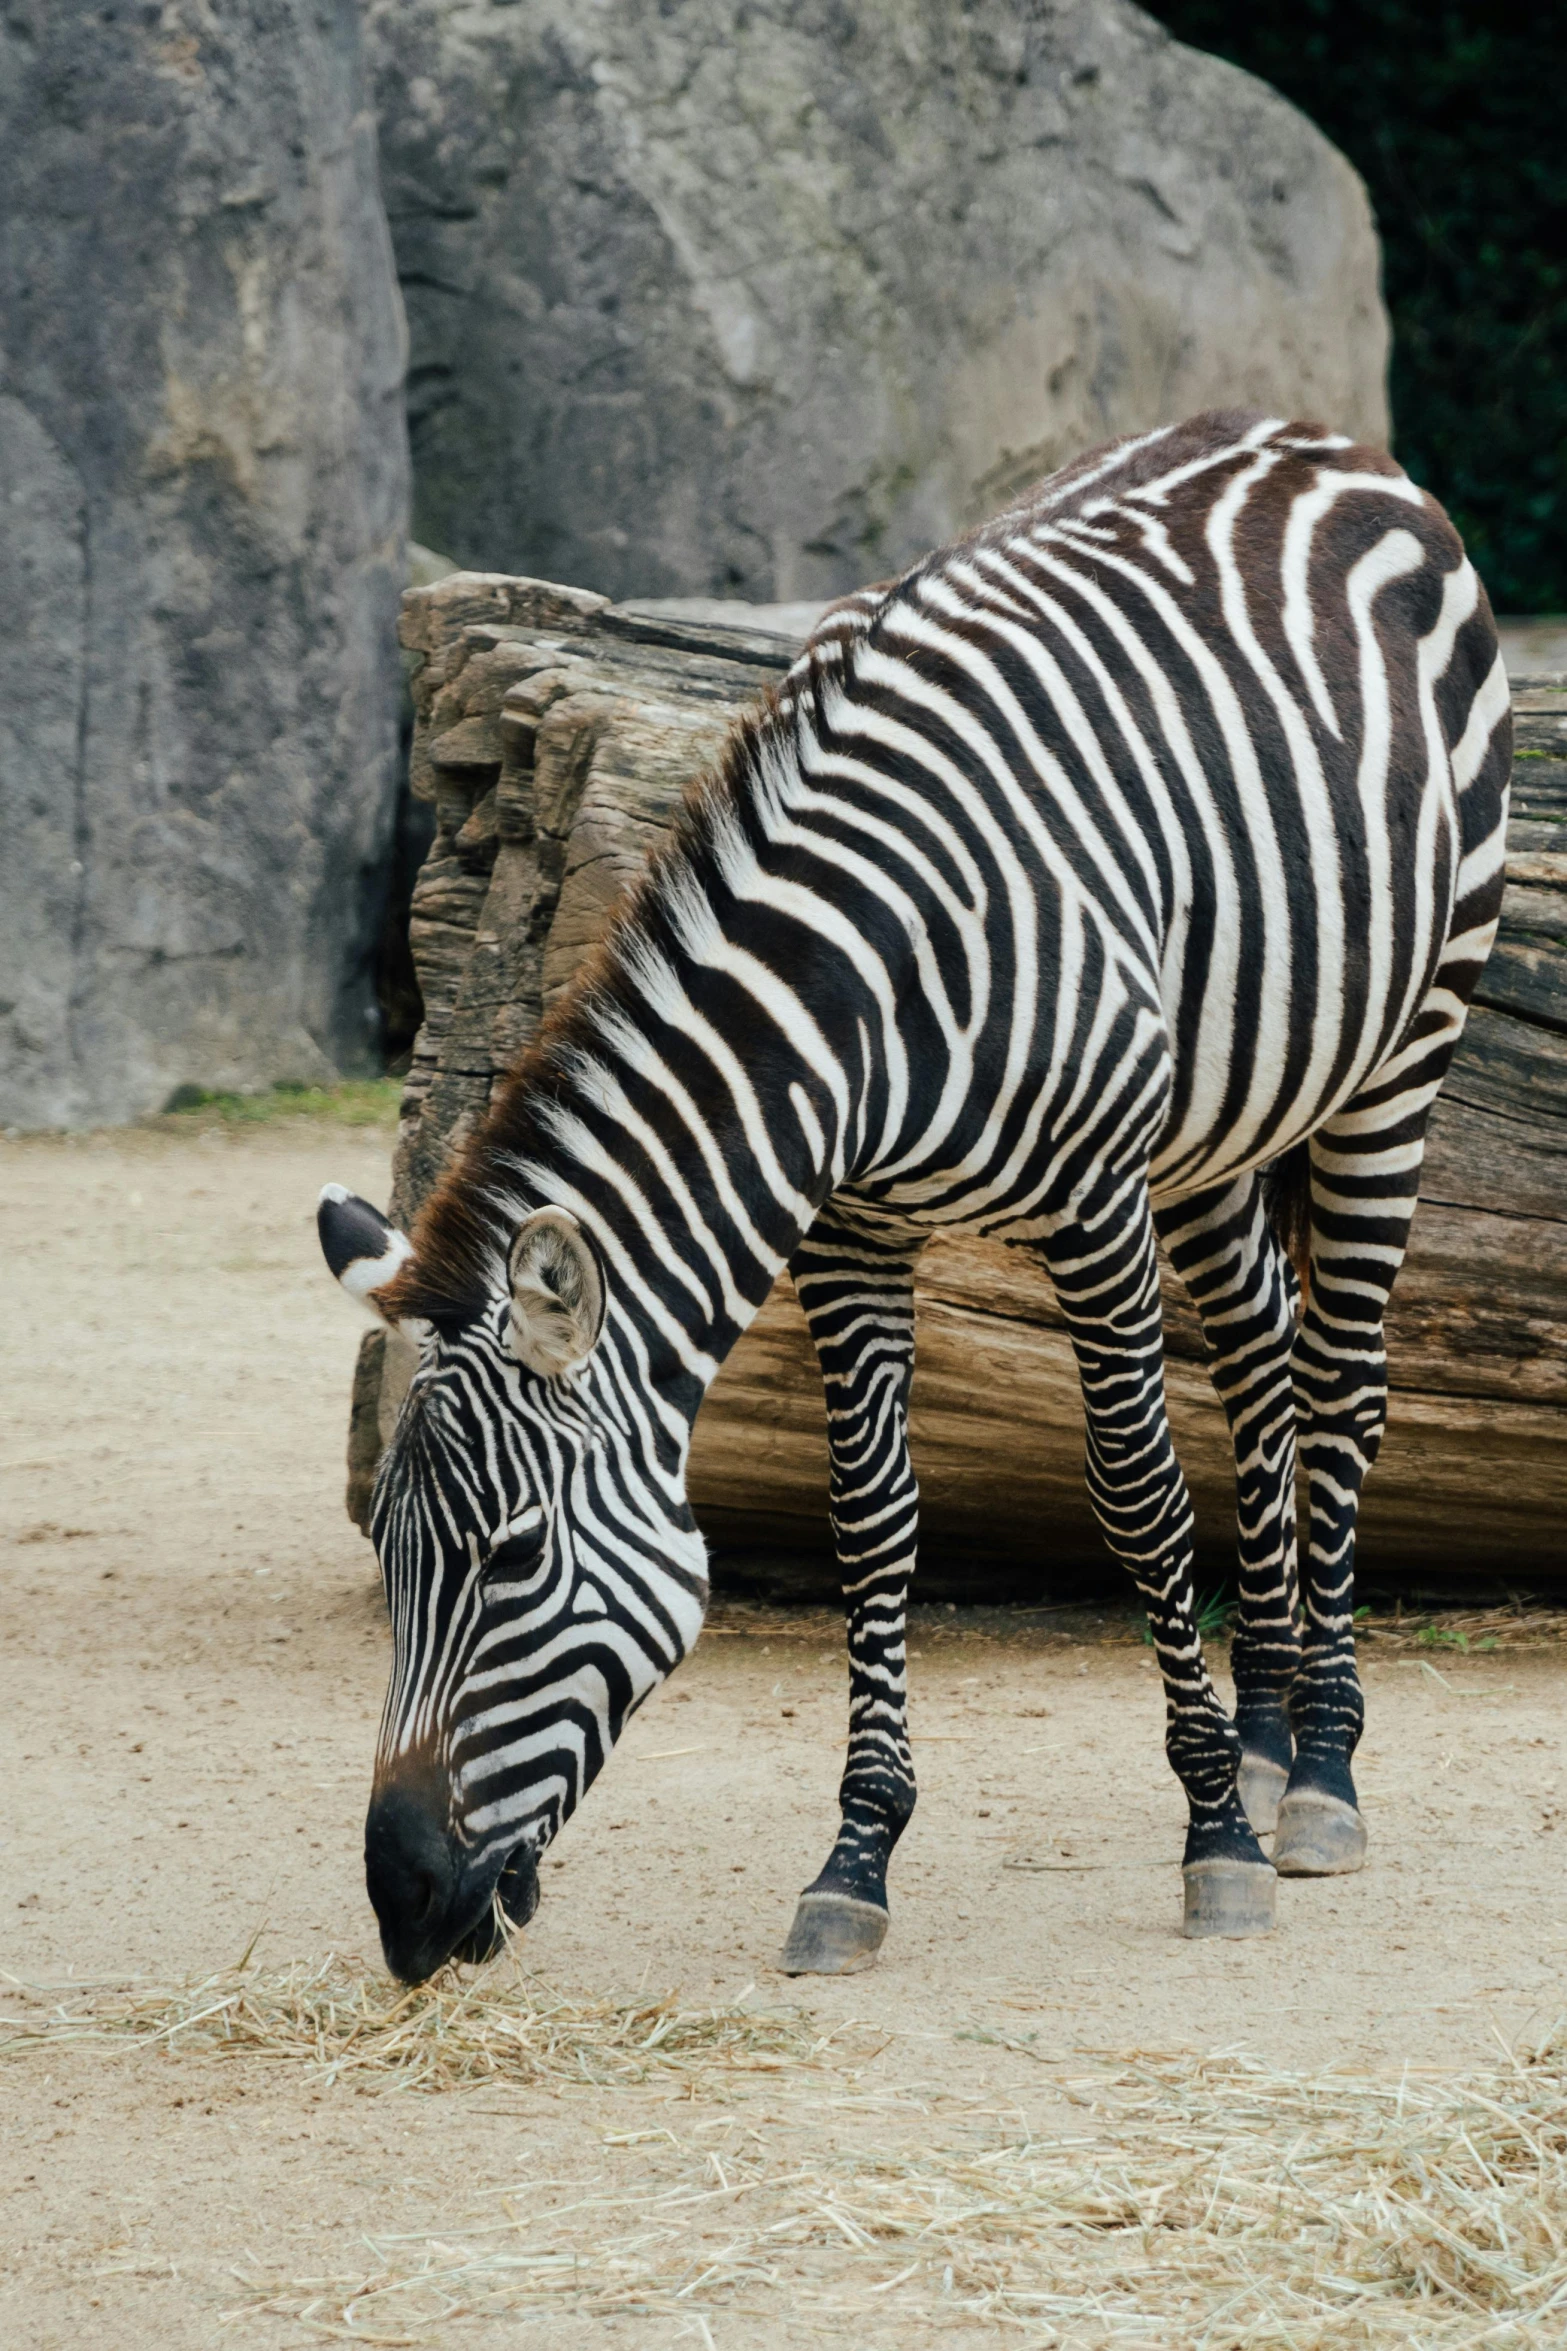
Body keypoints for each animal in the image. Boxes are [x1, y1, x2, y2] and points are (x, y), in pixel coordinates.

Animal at [314, 409, 1503, 1984]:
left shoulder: (1091, 1201)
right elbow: (870, 1513)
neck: (860, 989)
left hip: (1406, 1044)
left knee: (1340, 1385)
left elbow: (1134, 1494)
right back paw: (1263, 1732)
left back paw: (1311, 1773)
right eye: (388, 1548)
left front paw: (1212, 1841)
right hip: (1217, 1109)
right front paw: (856, 1856)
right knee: (1255, 1362)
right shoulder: (851, 1226)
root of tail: (1310, 436)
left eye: (510, 1555)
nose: (401, 1908)